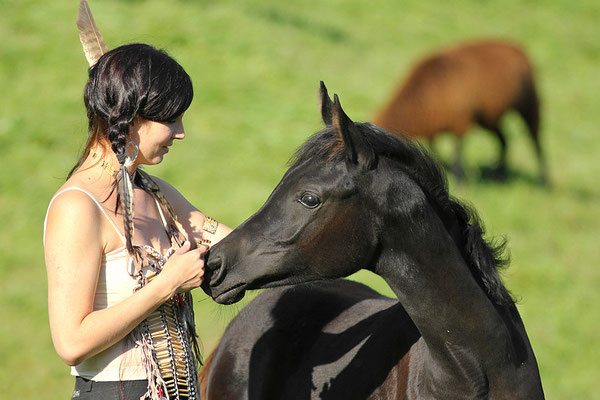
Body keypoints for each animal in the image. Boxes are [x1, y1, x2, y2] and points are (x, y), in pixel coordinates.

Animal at [372, 39, 548, 183]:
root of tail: (517, 48)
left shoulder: (460, 123)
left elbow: (457, 154)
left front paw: (459, 180)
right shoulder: (434, 127)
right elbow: (434, 150)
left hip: (529, 104)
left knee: (536, 140)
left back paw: (544, 180)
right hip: (488, 117)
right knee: (504, 140)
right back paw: (500, 174)